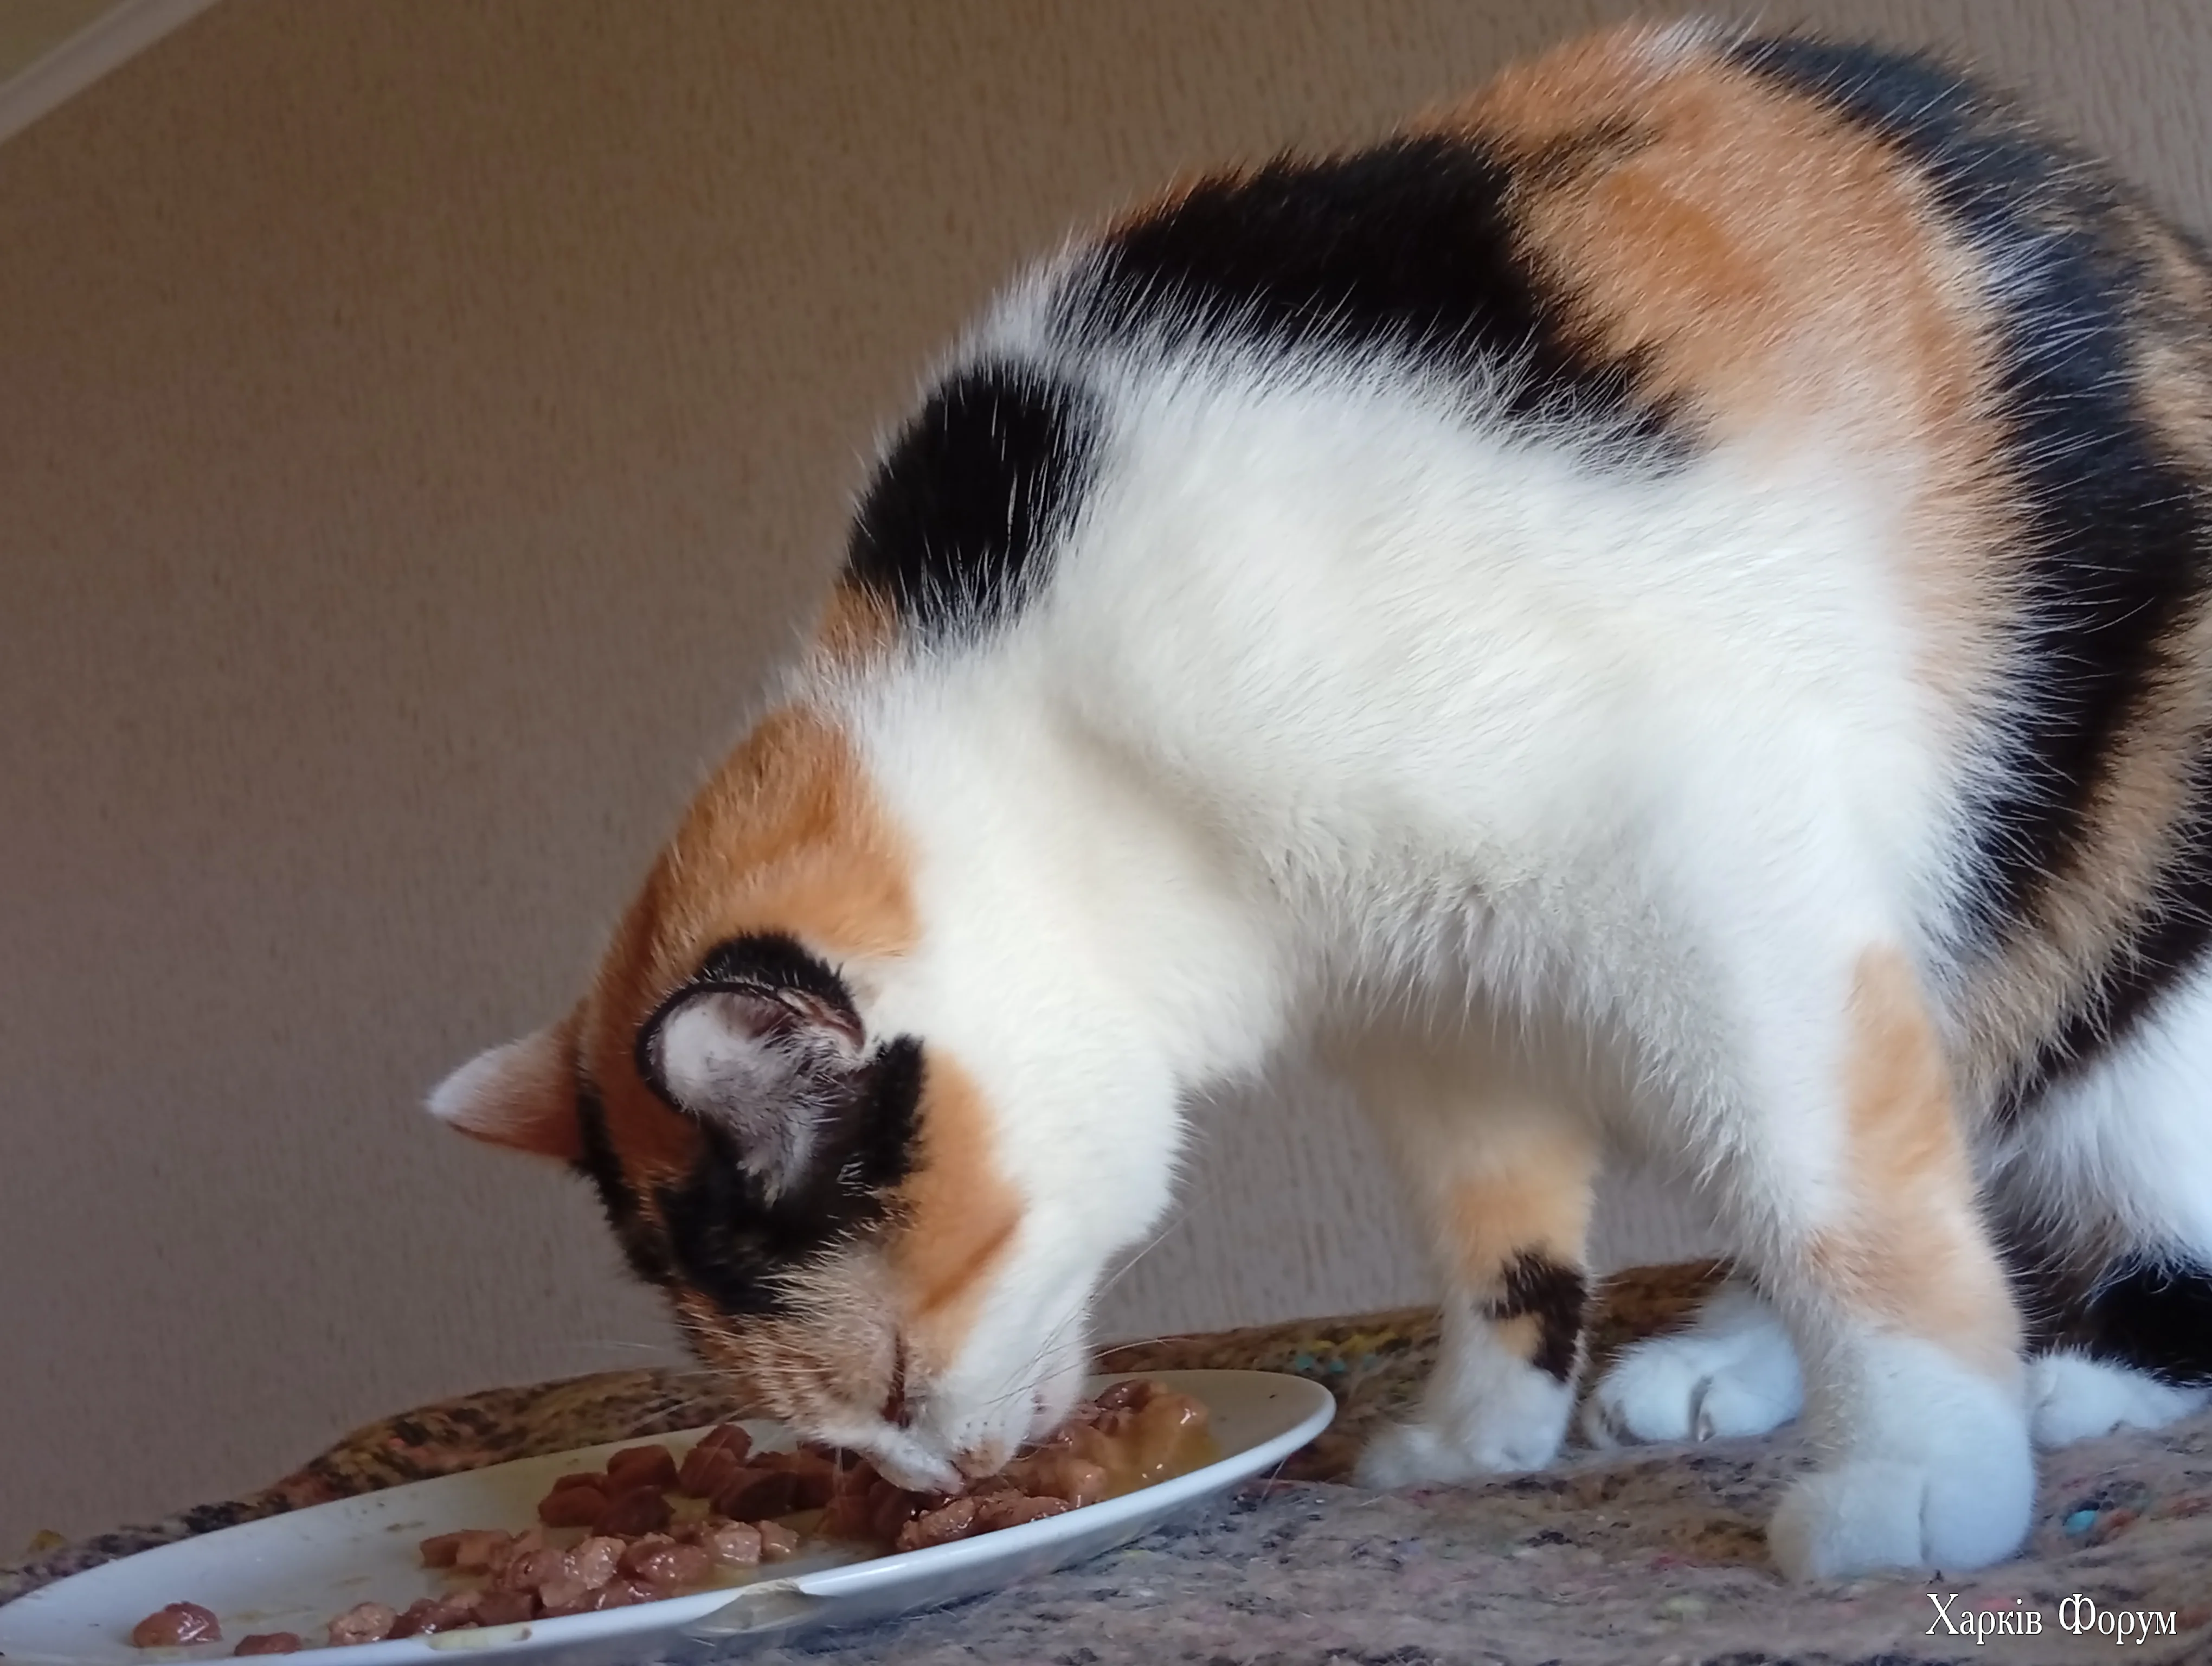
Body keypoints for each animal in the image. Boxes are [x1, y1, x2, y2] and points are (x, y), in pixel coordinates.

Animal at [427, 21, 2212, 1580]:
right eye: (843, 1431)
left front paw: (1921, 1477)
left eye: (887, 1376)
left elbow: (1839, 1195)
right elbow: (1499, 1230)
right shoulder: (1438, 1007)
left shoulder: (1719, 857)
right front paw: (1481, 1434)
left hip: (2100, 931)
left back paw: (2076, 1382)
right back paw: (1715, 1364)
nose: (937, 1484)